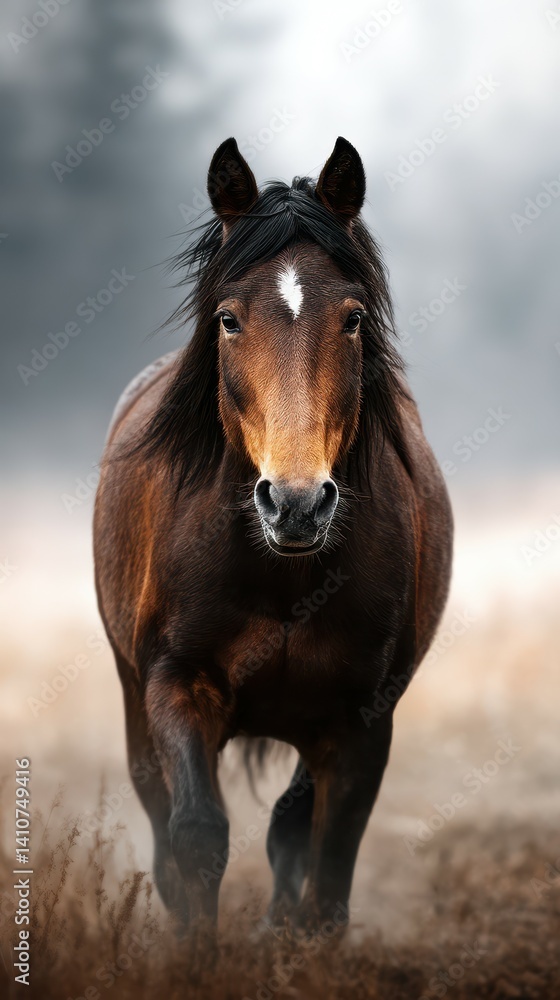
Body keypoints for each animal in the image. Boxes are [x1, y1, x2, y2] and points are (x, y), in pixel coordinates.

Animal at [93, 136, 453, 941]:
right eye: (228, 319)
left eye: (352, 317)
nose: (296, 505)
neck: (282, 574)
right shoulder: (176, 684)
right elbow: (196, 835)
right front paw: (196, 950)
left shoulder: (360, 722)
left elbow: (329, 869)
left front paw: (298, 938)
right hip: (133, 698)